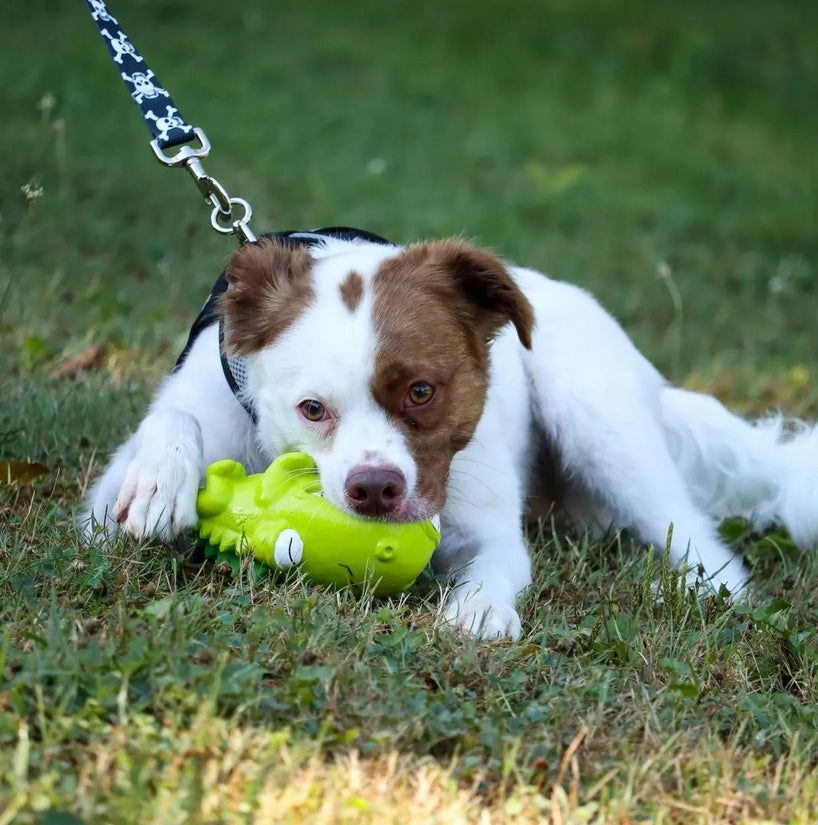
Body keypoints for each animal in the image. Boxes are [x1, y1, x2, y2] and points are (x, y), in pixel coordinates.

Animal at [83, 229, 816, 640]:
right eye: (312, 409)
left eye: (421, 391)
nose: (374, 490)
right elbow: (164, 428)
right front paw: (159, 482)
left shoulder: (485, 524)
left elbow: (495, 565)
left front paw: (479, 611)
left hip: (595, 412)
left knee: (697, 536)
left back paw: (696, 589)